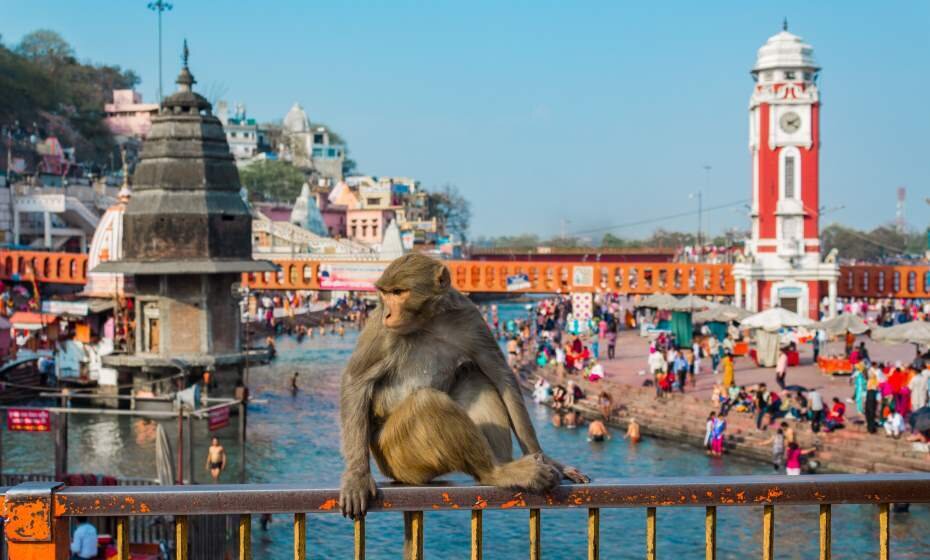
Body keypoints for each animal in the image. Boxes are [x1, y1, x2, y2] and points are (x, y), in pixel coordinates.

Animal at [338, 253, 588, 516]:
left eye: (398, 292)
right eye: (385, 294)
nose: (387, 313)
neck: (429, 321)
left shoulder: (470, 318)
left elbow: (500, 375)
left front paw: (547, 458)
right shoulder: (380, 329)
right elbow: (356, 380)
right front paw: (357, 476)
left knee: (474, 377)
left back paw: (500, 469)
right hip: (394, 454)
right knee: (429, 403)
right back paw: (497, 473)